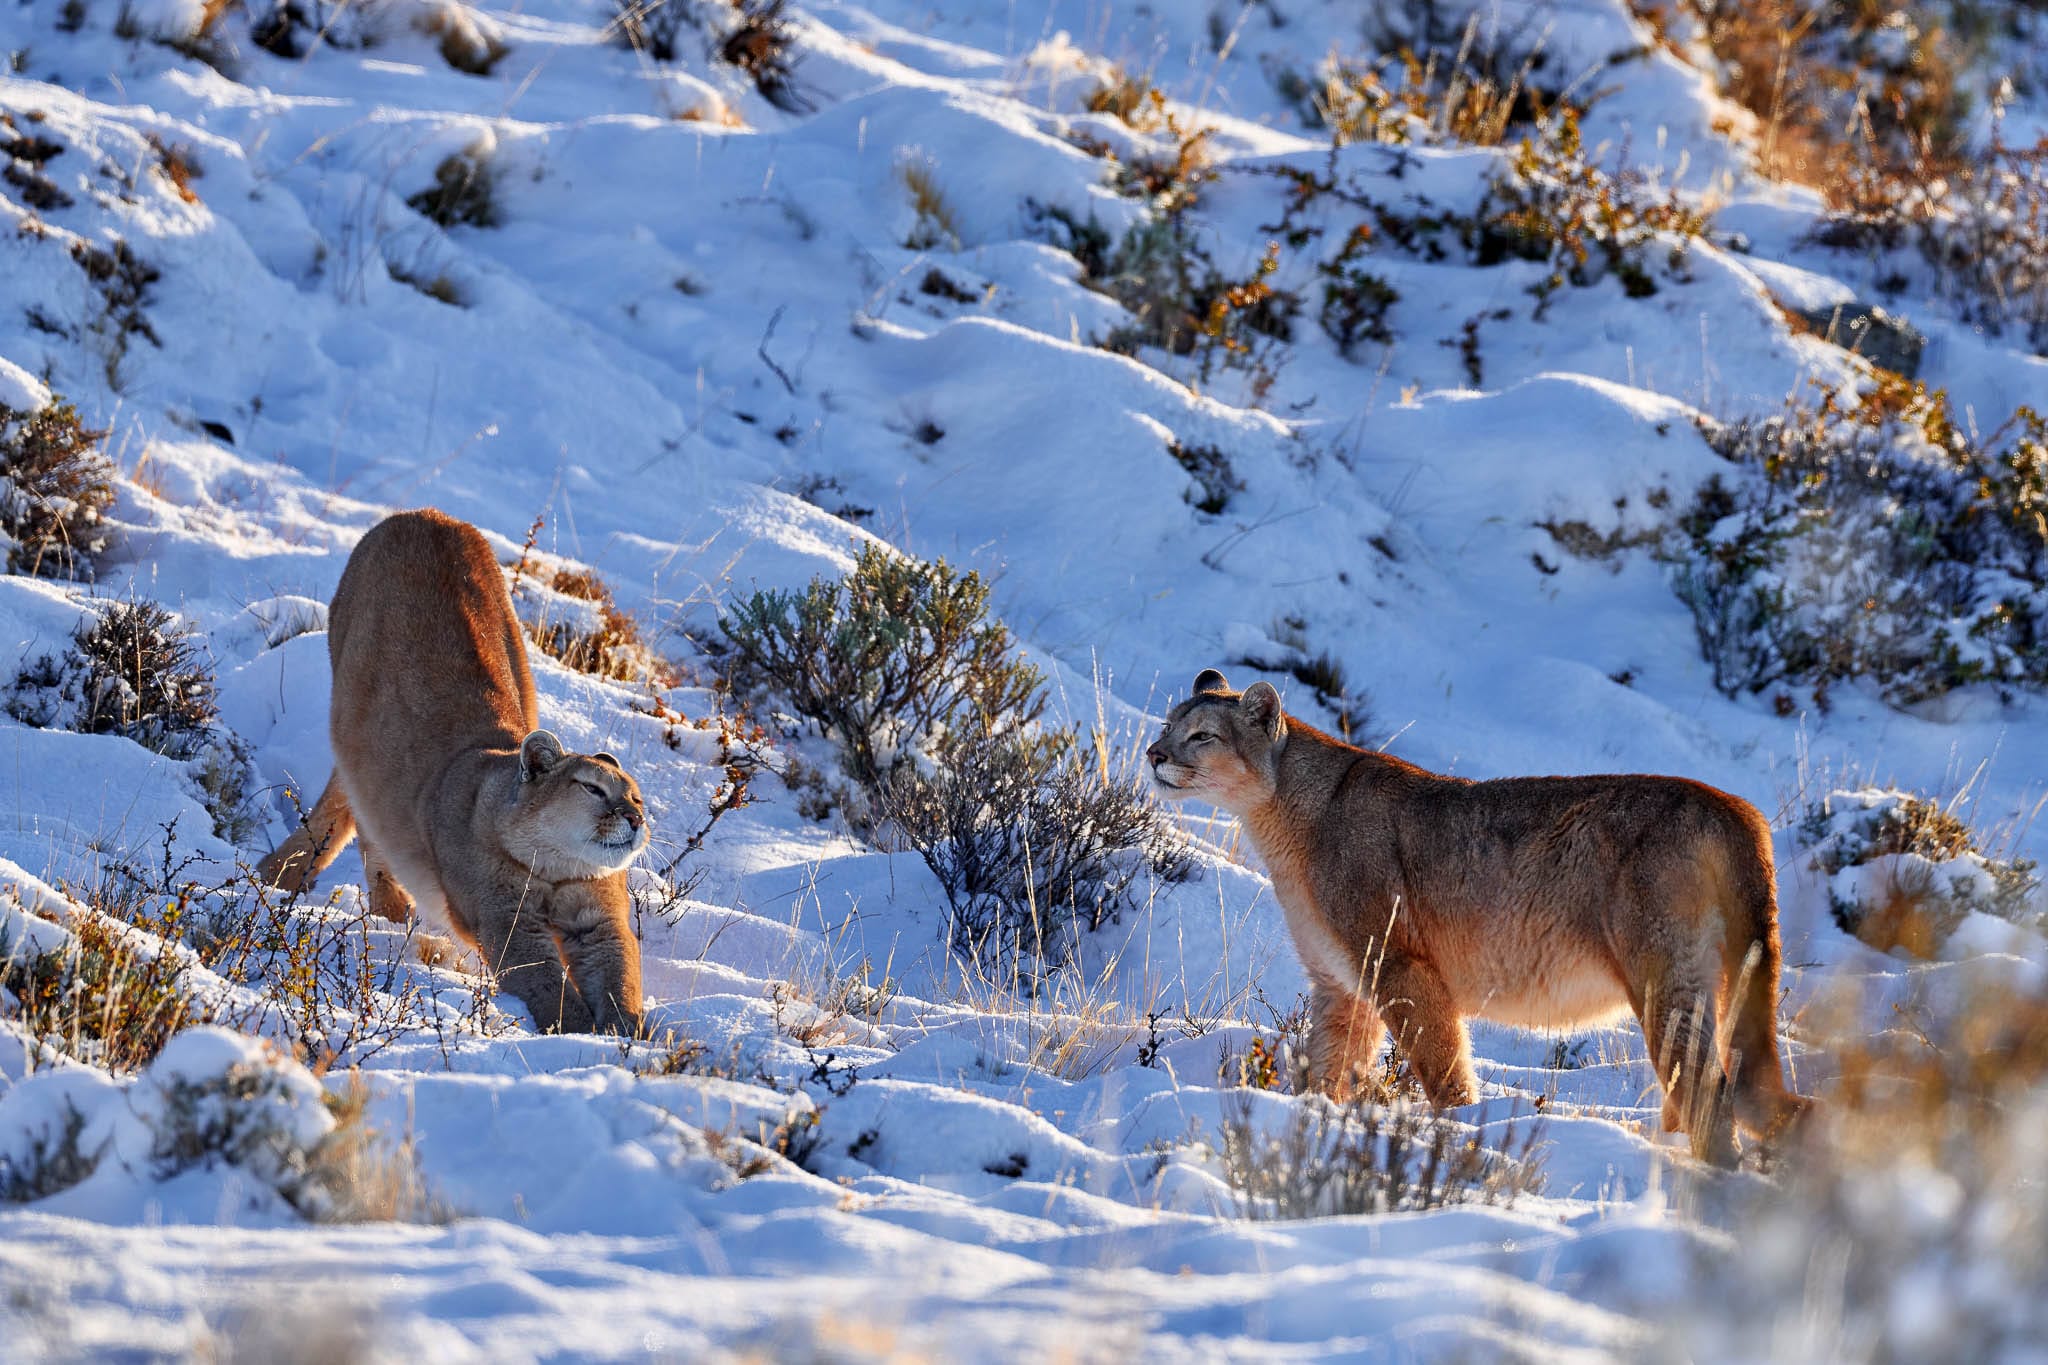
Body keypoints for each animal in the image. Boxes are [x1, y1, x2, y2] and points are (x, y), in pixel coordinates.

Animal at [257, 508, 650, 1036]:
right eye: (592, 789)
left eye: (636, 797)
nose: (635, 819)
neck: (556, 868)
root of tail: (427, 515)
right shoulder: (506, 922)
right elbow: (547, 985)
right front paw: (576, 1034)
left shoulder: (599, 920)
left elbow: (620, 978)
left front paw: (628, 1037)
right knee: (363, 819)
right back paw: (369, 908)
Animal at [1148, 669, 1808, 1165]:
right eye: (1166, 724)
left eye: (1202, 735)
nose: (1153, 754)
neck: (1286, 816)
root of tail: (1736, 808)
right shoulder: (1341, 985)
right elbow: (1330, 1064)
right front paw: (1312, 1119)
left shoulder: (1398, 964)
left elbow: (1442, 1064)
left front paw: (1464, 1129)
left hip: (1663, 982)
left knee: (1710, 1090)